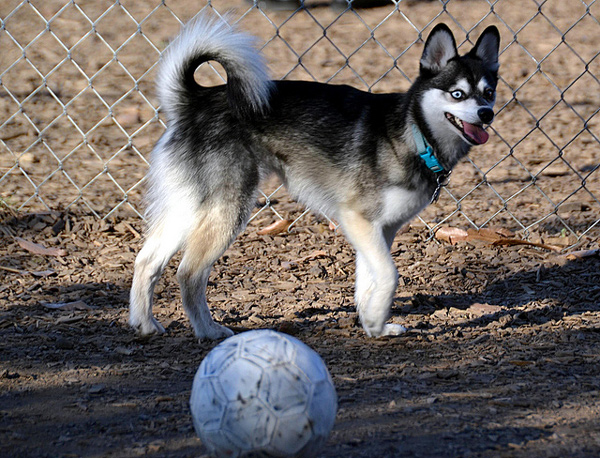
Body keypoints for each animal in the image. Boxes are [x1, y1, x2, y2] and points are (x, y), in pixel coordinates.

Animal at [131, 15, 502, 340]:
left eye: (489, 92)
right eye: (457, 94)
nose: (487, 114)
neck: (414, 133)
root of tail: (197, 99)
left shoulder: (379, 229)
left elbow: (369, 280)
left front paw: (374, 325)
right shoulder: (356, 218)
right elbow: (389, 275)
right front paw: (376, 320)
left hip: (189, 207)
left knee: (147, 261)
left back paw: (145, 324)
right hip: (229, 210)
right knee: (189, 273)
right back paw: (207, 330)